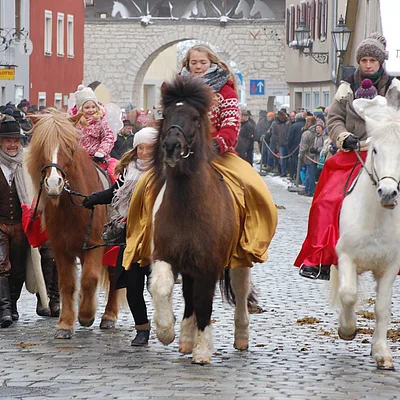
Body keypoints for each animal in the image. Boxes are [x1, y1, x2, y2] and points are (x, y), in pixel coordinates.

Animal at [25, 111, 117, 340]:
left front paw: (86, 315)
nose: (53, 183)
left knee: (114, 278)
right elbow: (67, 283)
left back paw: (109, 316)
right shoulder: (60, 248)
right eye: (42, 146)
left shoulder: (95, 244)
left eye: (69, 147)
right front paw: (65, 324)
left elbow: (90, 279)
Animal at [148, 74, 252, 362]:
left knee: (240, 290)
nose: (171, 147)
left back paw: (241, 337)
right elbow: (162, 287)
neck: (188, 207)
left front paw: (203, 351)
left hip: (240, 258)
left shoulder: (209, 262)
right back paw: (185, 338)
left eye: (195, 117)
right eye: (166, 113)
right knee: (188, 296)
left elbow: (205, 303)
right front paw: (166, 332)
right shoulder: (167, 254)